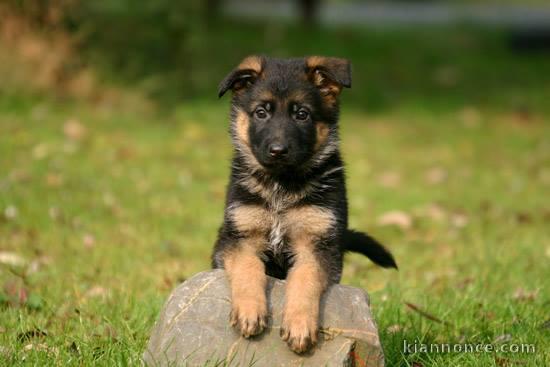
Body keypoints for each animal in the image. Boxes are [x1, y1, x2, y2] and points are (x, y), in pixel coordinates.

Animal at [211, 56, 396, 356]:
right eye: (261, 113)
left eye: (302, 114)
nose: (278, 150)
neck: (281, 185)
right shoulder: (237, 239)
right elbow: (247, 267)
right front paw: (250, 311)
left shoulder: (317, 245)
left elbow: (305, 279)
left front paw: (299, 325)